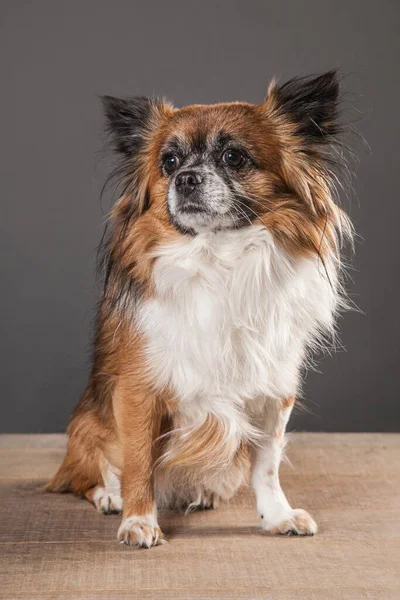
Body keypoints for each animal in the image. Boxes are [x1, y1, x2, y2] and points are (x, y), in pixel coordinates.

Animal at [47, 71, 354, 548]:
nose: (187, 178)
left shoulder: (273, 392)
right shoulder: (138, 390)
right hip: (87, 429)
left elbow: (267, 466)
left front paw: (277, 516)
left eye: (233, 157)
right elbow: (138, 461)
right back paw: (110, 496)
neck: (217, 258)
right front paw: (139, 520)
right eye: (169, 162)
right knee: (88, 475)